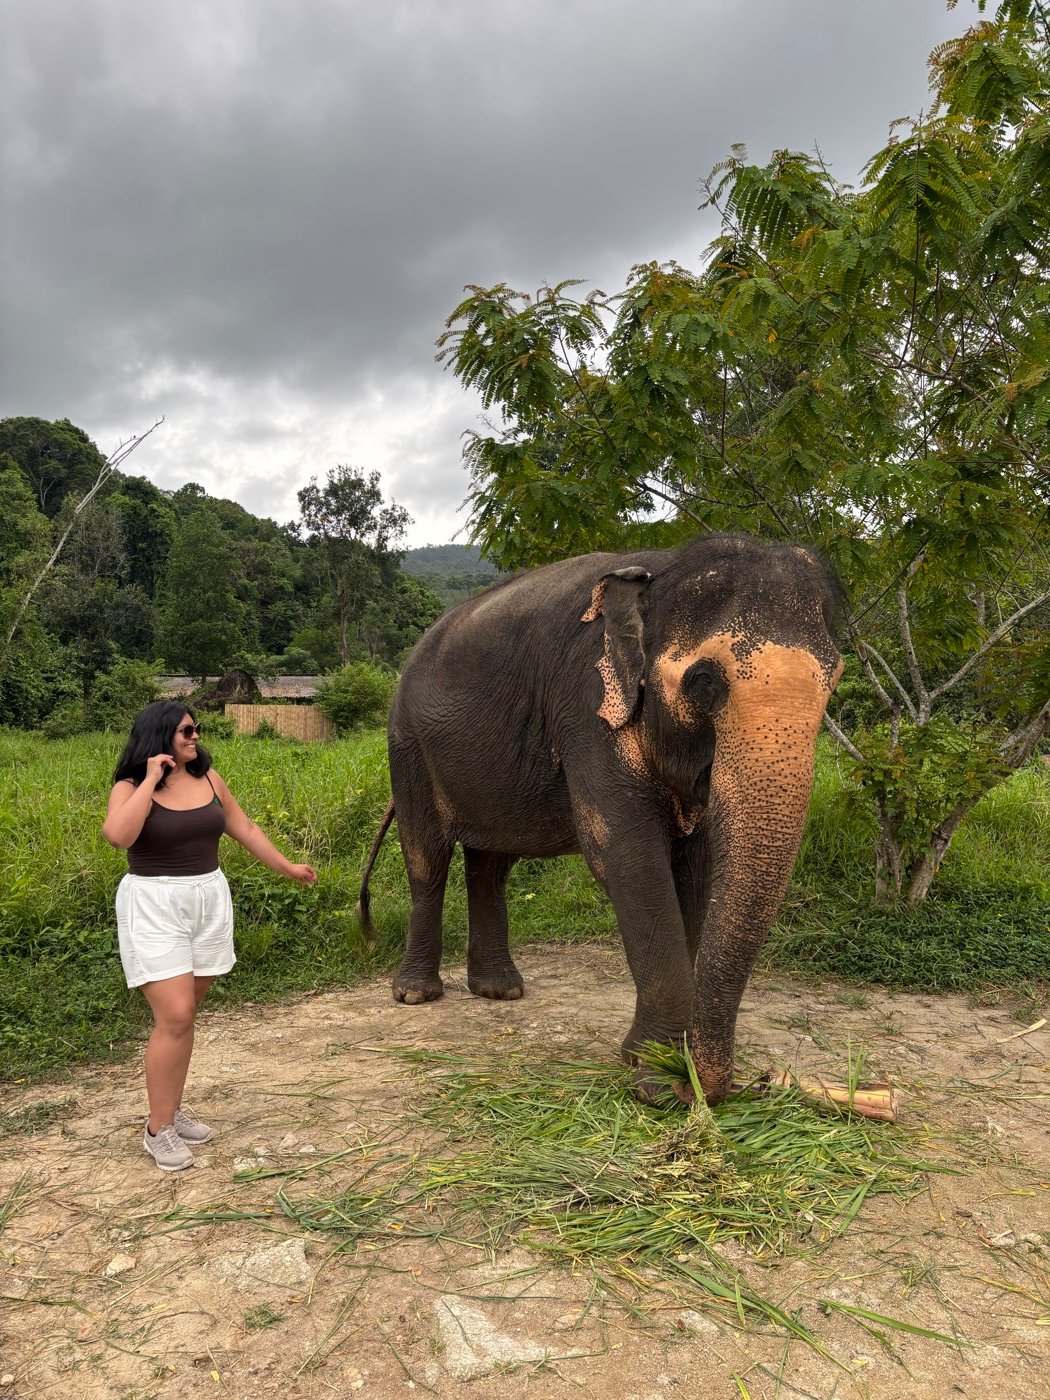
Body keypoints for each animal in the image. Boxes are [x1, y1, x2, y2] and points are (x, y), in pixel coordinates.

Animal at [358, 533, 843, 1104]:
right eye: (703, 681)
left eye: (834, 681)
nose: (738, 1085)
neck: (663, 571)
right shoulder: (586, 704)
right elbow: (629, 857)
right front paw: (657, 1081)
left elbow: (695, 870)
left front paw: (659, 1063)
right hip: (407, 747)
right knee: (427, 860)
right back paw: (416, 995)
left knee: (490, 866)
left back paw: (500, 991)